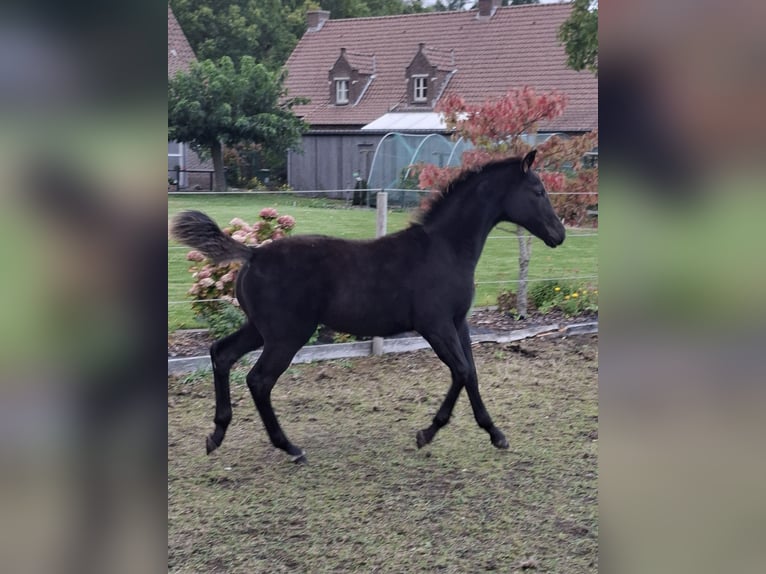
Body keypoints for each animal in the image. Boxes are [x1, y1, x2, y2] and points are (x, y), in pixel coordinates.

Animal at [171, 150, 565, 463]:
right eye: (538, 191)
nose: (559, 234)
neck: (446, 248)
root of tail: (253, 254)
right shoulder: (435, 325)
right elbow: (461, 372)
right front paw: (429, 433)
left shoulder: (458, 323)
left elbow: (470, 373)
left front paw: (493, 433)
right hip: (287, 335)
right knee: (259, 379)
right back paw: (290, 448)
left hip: (260, 328)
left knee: (221, 354)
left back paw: (216, 435)